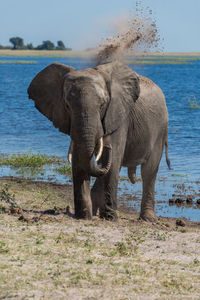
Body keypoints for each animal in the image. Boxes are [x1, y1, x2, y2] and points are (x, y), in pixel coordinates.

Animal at [27, 61, 170, 221]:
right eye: (67, 106)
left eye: (102, 105)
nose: (107, 148)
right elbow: (79, 161)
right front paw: (83, 217)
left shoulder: (119, 115)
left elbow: (113, 162)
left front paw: (111, 218)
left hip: (160, 129)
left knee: (148, 171)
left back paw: (147, 219)